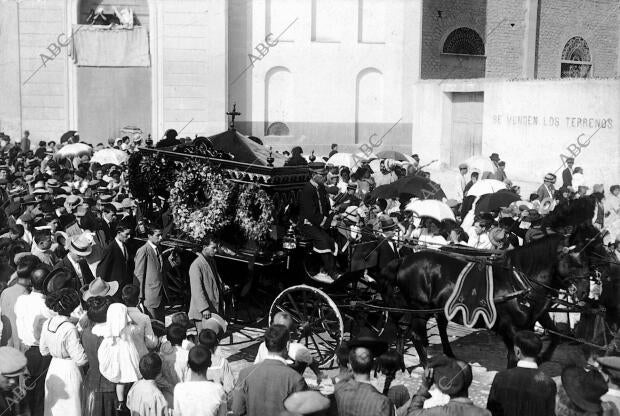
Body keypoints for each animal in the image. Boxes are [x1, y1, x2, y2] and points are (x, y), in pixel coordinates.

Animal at [378, 234, 592, 368]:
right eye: (576, 262)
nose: (585, 292)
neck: (518, 281)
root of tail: (404, 260)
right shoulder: (509, 327)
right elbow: (513, 357)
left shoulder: (535, 318)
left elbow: (555, 336)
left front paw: (542, 358)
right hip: (420, 308)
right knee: (414, 334)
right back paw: (426, 365)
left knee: (408, 329)